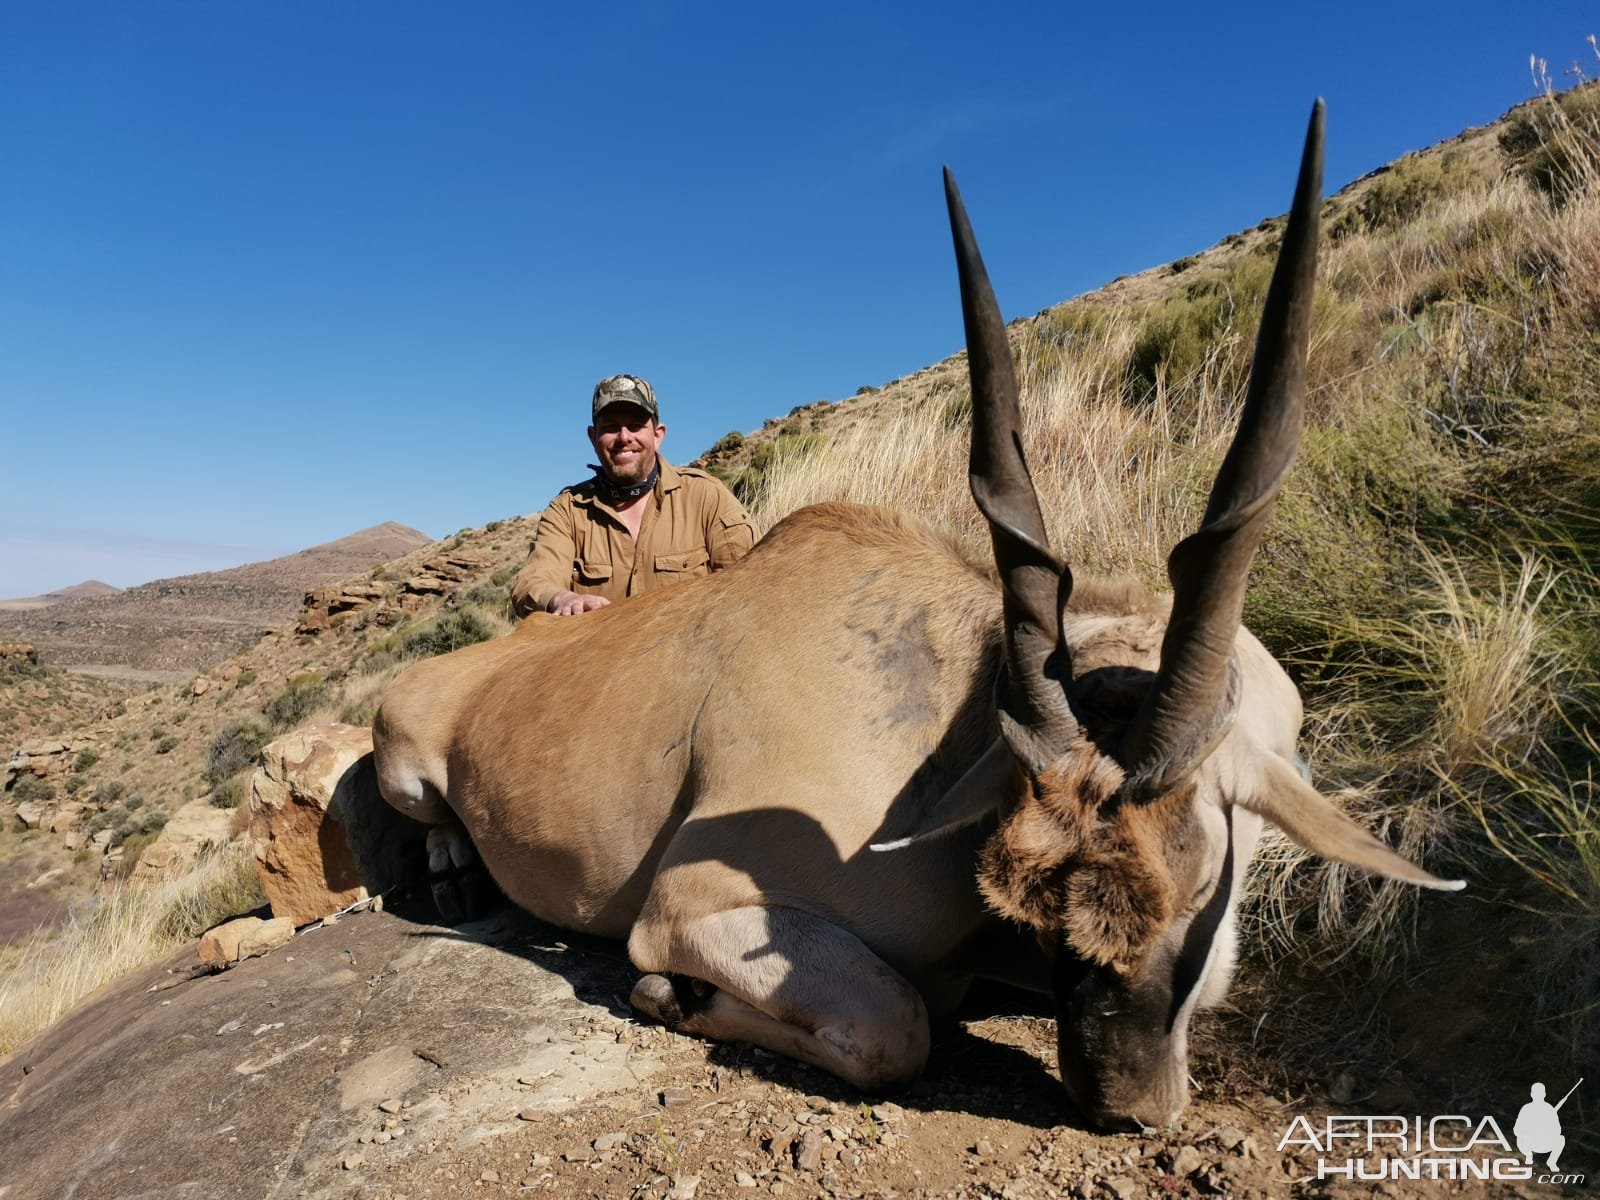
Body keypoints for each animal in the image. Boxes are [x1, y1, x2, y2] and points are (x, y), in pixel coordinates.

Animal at [374, 101, 1465, 1126]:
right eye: (1042, 906)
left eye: (1204, 888)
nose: (1122, 1104)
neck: (950, 718)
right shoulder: (689, 907)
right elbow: (896, 1025)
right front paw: (666, 995)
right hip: (407, 776)